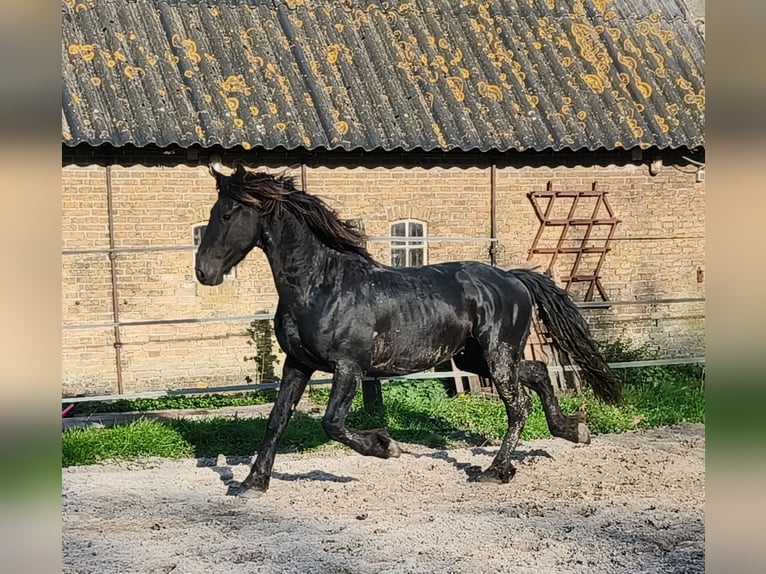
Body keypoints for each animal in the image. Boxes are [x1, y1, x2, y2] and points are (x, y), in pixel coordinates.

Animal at [195, 164, 622, 493]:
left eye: (228, 214)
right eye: (214, 212)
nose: (204, 272)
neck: (321, 285)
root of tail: (514, 278)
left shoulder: (349, 367)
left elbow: (332, 423)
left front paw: (386, 446)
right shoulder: (297, 364)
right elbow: (276, 420)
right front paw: (252, 483)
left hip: (496, 354)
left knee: (518, 404)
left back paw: (496, 471)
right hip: (476, 357)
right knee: (536, 373)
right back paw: (573, 430)